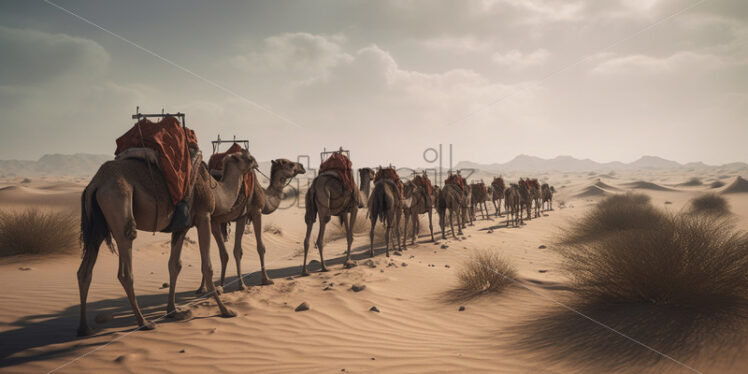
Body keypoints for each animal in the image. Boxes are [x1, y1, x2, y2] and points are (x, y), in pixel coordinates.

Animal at [77, 149, 256, 336]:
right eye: (245, 158)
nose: (255, 162)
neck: (215, 191)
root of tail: (96, 183)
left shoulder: (181, 226)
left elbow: (174, 265)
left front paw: (173, 311)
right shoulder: (204, 215)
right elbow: (207, 267)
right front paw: (225, 310)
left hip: (97, 225)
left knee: (84, 272)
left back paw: (84, 328)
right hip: (118, 203)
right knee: (125, 268)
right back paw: (144, 322)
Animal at [202, 158, 306, 292]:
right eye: (291, 164)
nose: (302, 167)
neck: (265, 196)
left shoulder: (242, 217)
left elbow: (238, 250)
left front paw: (240, 283)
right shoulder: (255, 212)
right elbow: (259, 248)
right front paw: (264, 280)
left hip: (210, 220)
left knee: (216, 253)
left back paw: (206, 288)